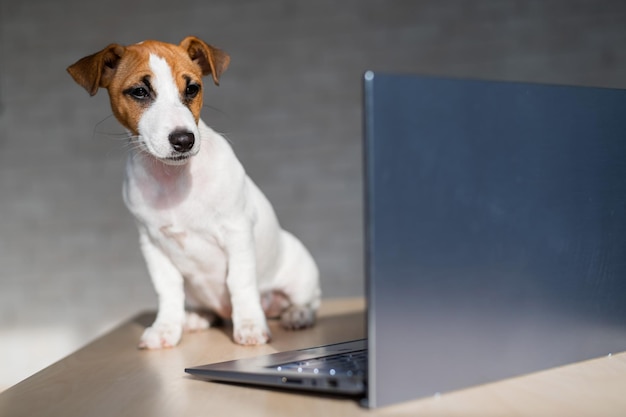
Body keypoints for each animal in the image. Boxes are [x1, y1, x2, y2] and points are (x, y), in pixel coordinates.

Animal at [67, 35, 320, 348]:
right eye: (139, 92)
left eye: (192, 88)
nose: (183, 140)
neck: (173, 179)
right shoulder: (152, 245)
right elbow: (167, 290)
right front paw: (165, 328)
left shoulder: (236, 231)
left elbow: (240, 282)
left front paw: (249, 325)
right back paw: (197, 317)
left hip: (299, 274)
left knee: (309, 301)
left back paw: (297, 315)